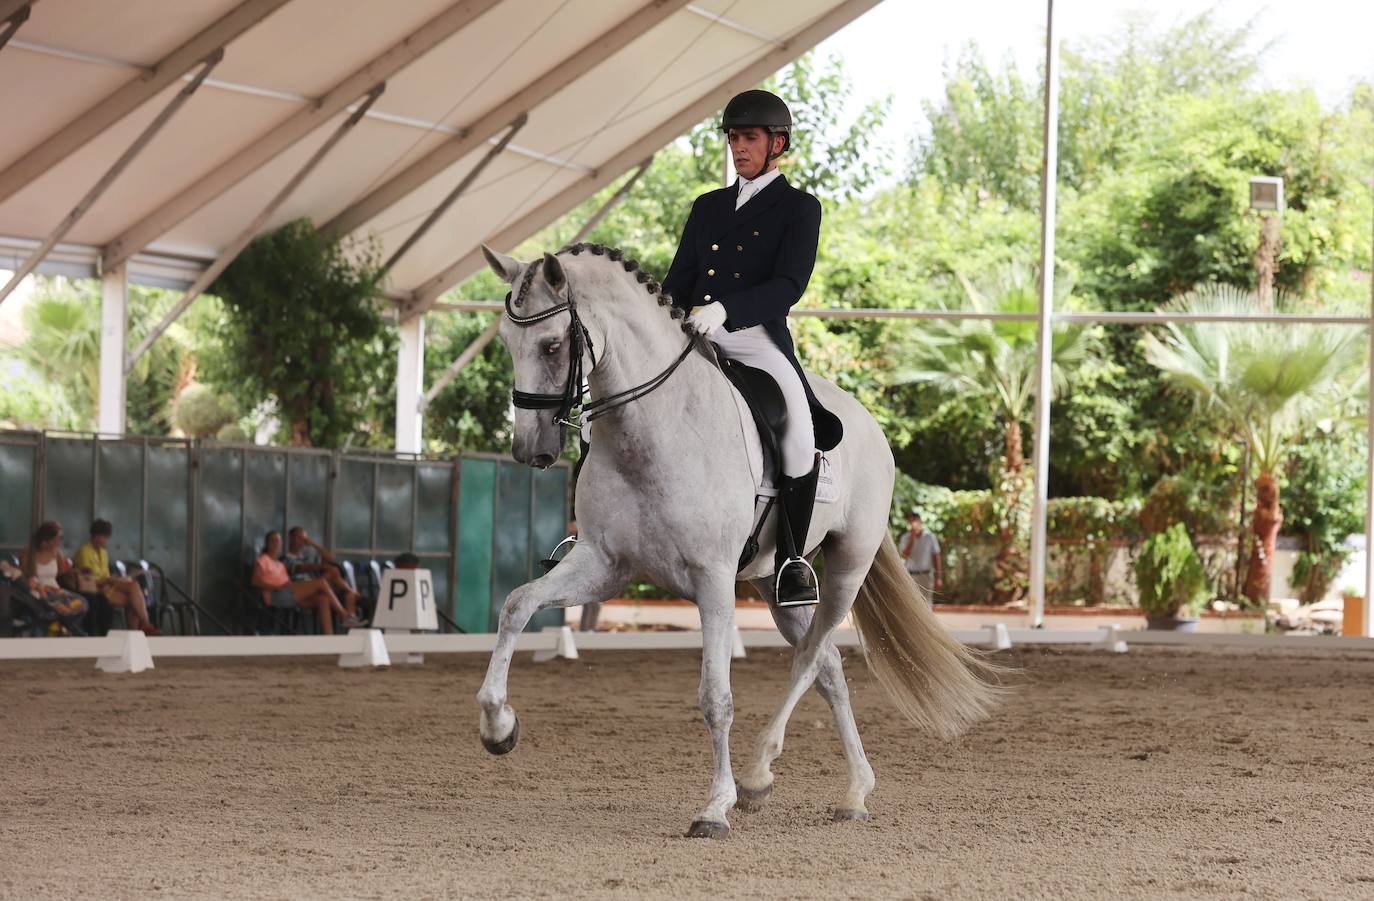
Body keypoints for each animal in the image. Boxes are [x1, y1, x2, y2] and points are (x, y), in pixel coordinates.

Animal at [472, 241, 1000, 835]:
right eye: (505, 342)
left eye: (553, 343)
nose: (529, 450)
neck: (653, 426)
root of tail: (867, 423)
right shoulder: (603, 564)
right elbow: (517, 605)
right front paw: (498, 727)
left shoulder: (713, 580)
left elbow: (716, 697)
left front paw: (715, 806)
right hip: (776, 583)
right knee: (828, 667)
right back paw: (853, 793)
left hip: (846, 567)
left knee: (808, 659)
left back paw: (757, 776)